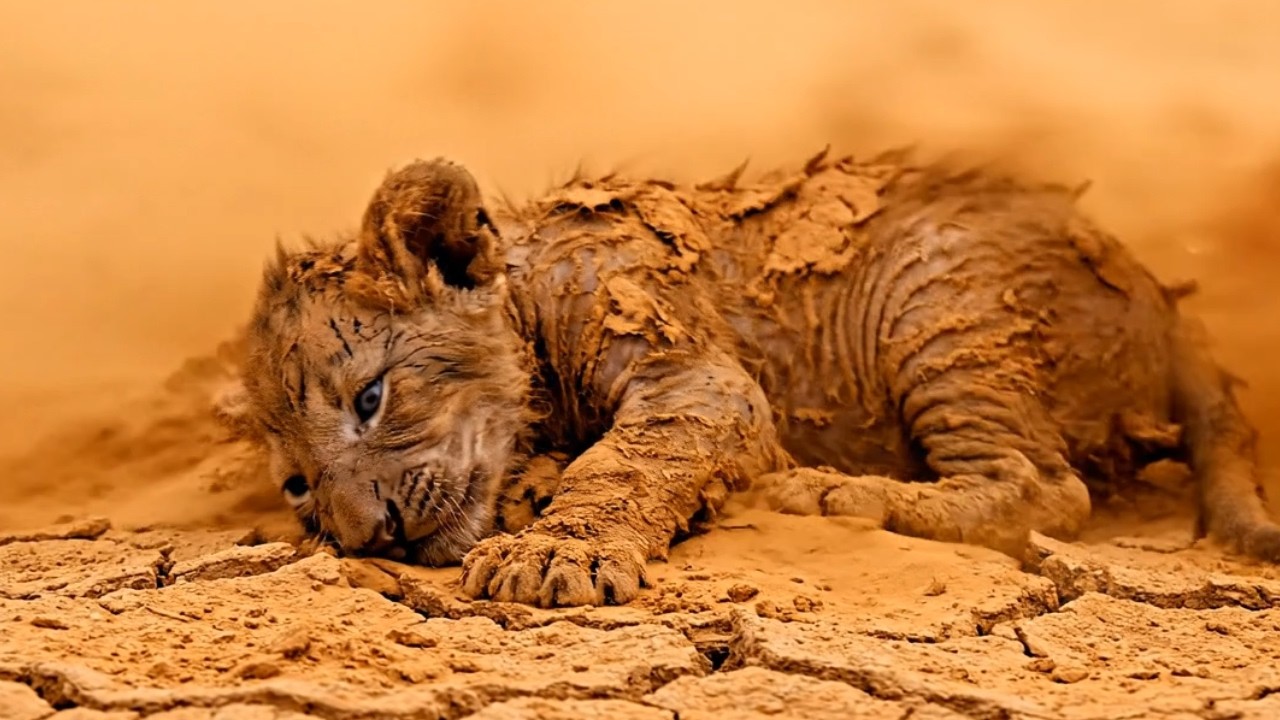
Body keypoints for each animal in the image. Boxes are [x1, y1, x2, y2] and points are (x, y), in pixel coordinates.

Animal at [230, 148, 1280, 608]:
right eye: (298, 484)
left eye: (371, 399)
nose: (368, 537)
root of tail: (1164, 296)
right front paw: (533, 496)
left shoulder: (692, 372)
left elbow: (627, 461)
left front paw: (551, 553)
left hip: (937, 304)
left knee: (1042, 485)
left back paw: (826, 492)